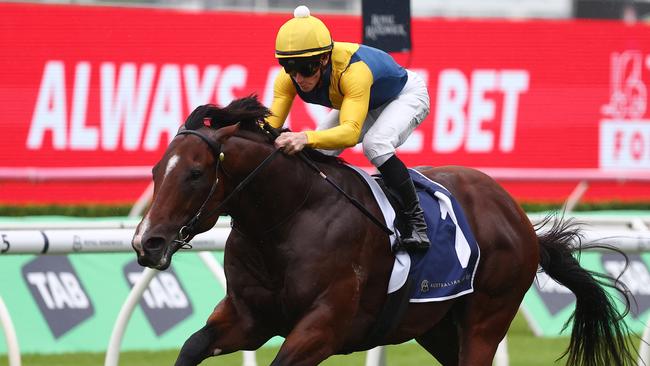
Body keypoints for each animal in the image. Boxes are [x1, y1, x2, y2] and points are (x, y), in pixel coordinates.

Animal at [130, 96, 632, 364]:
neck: (288, 217)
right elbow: (192, 346)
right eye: (155, 171)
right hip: (436, 325)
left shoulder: (324, 325)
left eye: (195, 174)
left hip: (487, 316)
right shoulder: (249, 317)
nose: (146, 243)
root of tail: (519, 217)